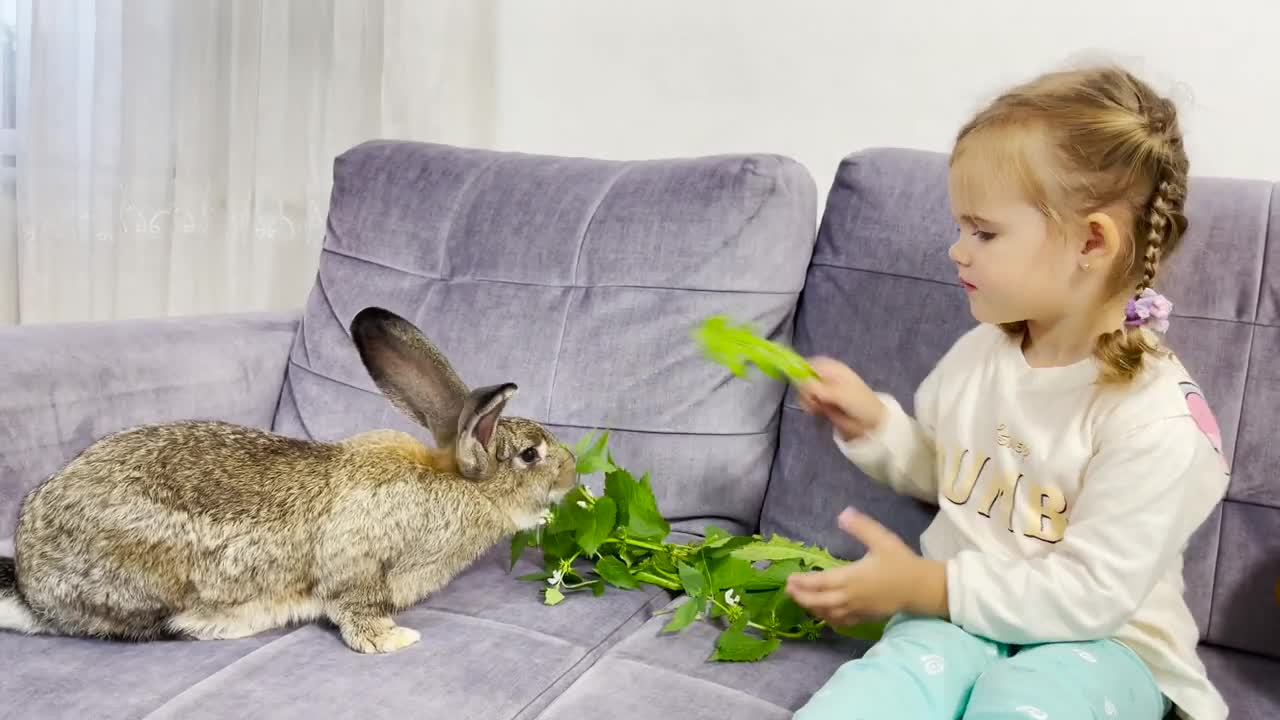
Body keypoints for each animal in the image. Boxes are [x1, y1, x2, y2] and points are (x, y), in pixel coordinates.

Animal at [0, 304, 581, 653]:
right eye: (530, 454)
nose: (573, 473)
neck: (458, 484)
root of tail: (30, 579)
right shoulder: (358, 570)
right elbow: (356, 612)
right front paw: (395, 640)